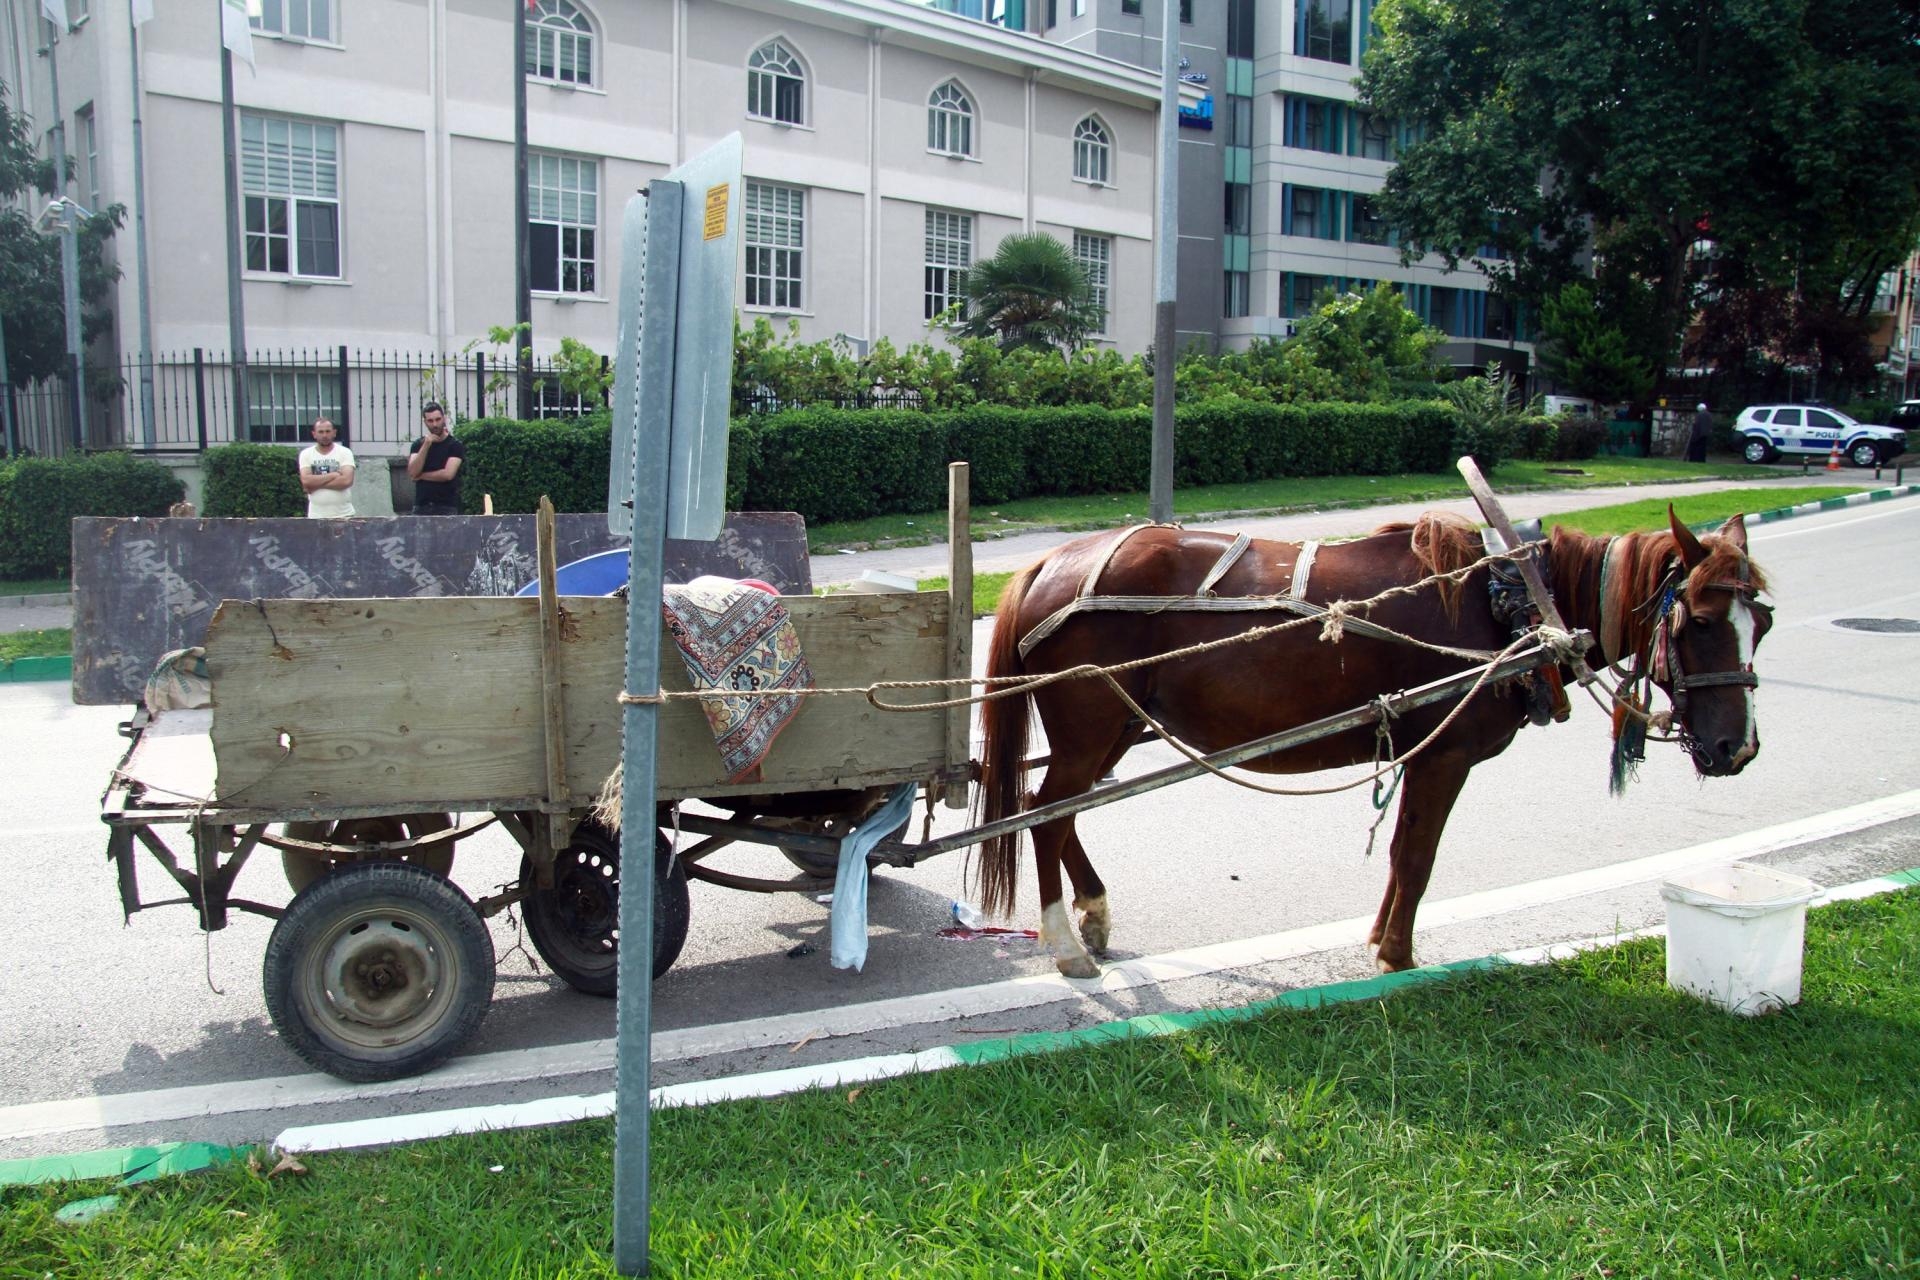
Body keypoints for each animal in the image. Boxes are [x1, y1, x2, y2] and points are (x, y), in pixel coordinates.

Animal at [975, 506, 1766, 974]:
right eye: (1698, 620)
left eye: (1764, 621)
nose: (1738, 750)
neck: (1507, 600)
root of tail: (1049, 564)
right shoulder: (1446, 754)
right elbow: (1417, 856)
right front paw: (1399, 957)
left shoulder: (1422, 753)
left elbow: (1401, 853)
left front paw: (1382, 940)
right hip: (1090, 729)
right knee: (1045, 818)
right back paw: (1066, 944)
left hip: (1119, 725)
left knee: (1060, 812)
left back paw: (1094, 911)